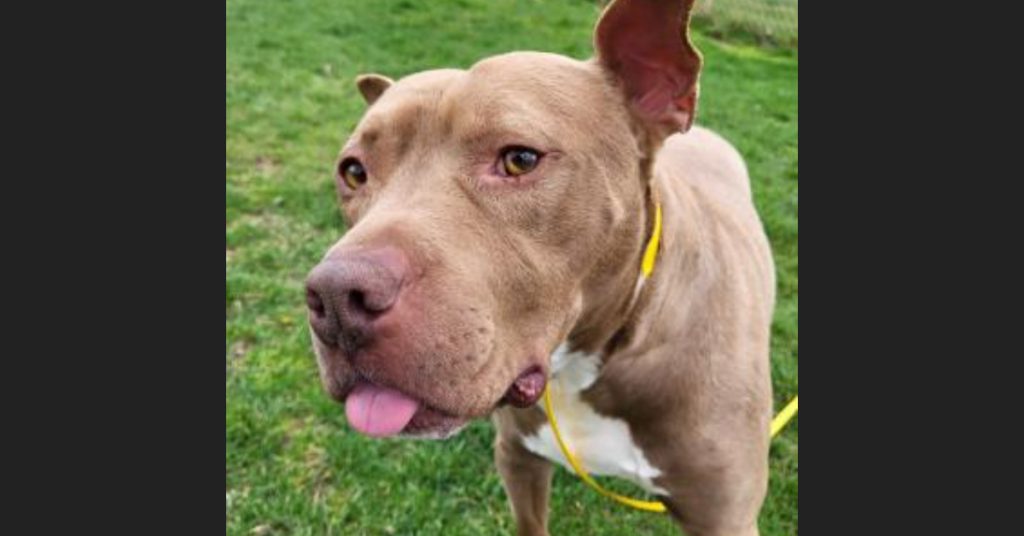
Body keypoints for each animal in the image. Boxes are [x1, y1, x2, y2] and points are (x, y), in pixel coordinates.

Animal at [304, 0, 776, 534]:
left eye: (520, 160)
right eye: (353, 171)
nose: (336, 299)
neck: (588, 362)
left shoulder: (722, 515)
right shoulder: (518, 459)